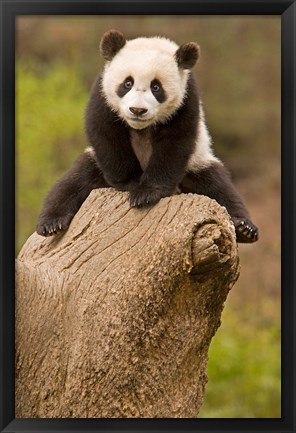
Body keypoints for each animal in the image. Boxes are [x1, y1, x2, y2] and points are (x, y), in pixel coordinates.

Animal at [36, 29, 260, 243]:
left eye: (156, 87)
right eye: (127, 83)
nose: (137, 110)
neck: (140, 128)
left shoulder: (186, 100)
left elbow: (175, 144)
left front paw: (145, 193)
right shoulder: (102, 94)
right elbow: (106, 134)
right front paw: (132, 183)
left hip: (197, 164)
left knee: (218, 187)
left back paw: (244, 228)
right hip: (94, 166)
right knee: (72, 184)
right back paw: (52, 223)